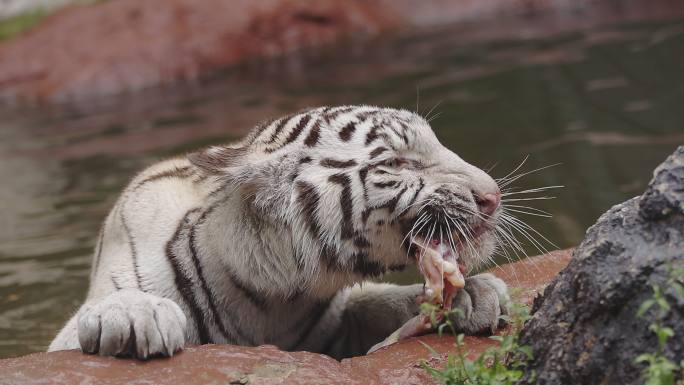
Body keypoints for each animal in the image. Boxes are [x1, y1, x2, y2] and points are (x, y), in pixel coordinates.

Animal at [49, 104, 508, 356]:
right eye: (395, 163)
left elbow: (379, 300)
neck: (273, 298)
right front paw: (134, 315)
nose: (493, 195)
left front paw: (472, 293)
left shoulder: (333, 321)